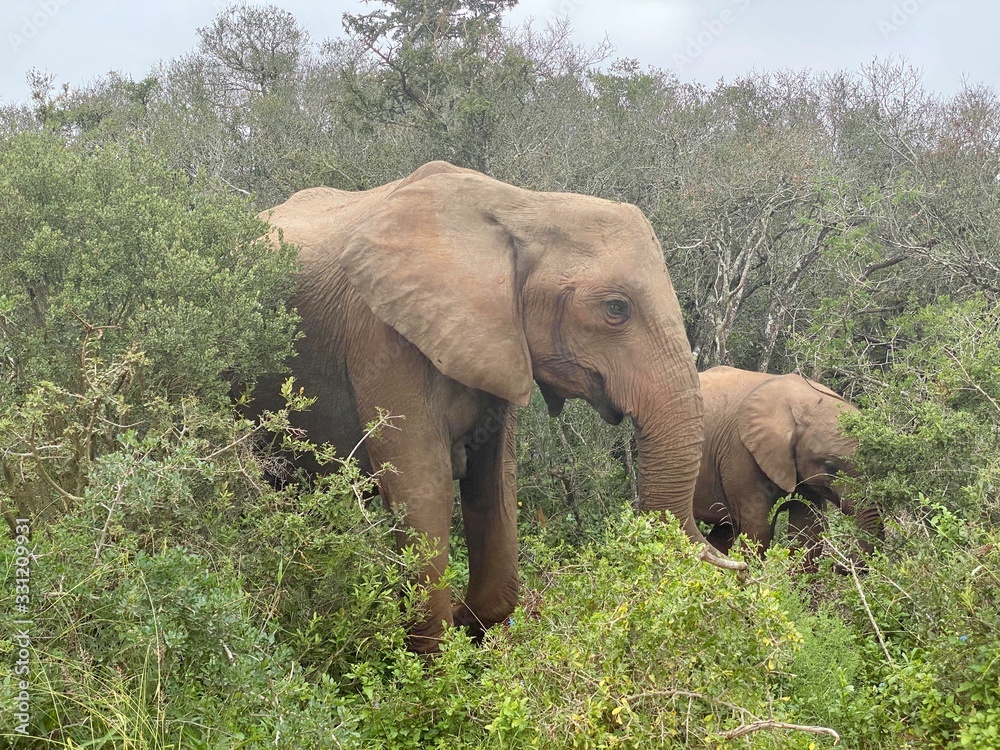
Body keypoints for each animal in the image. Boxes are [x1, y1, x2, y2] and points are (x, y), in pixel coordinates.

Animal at [252, 163, 744, 652]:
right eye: (615, 308)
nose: (738, 563)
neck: (523, 206)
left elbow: (494, 486)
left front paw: (466, 622)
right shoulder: (380, 336)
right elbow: (422, 488)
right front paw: (435, 658)